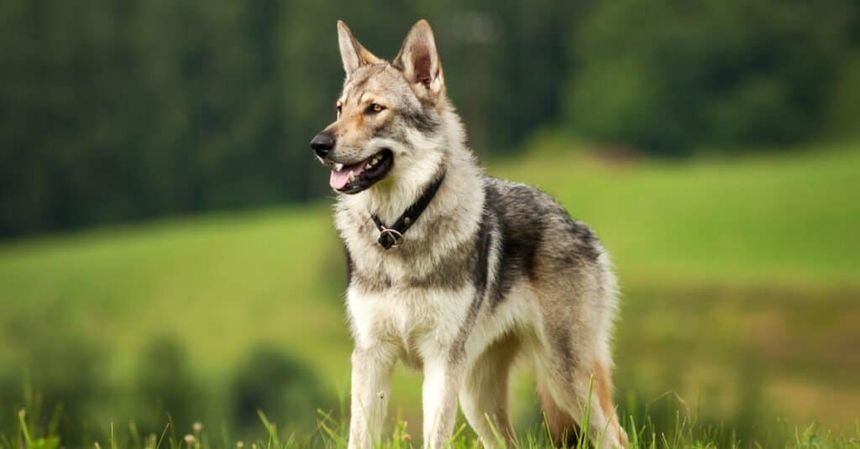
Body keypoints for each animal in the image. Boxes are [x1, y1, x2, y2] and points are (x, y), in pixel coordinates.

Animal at [310, 19, 628, 449]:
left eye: (374, 108)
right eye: (340, 109)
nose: (319, 144)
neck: (399, 230)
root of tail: (573, 220)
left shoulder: (441, 360)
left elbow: (434, 437)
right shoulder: (371, 356)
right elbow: (360, 438)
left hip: (567, 382)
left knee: (619, 435)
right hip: (479, 402)